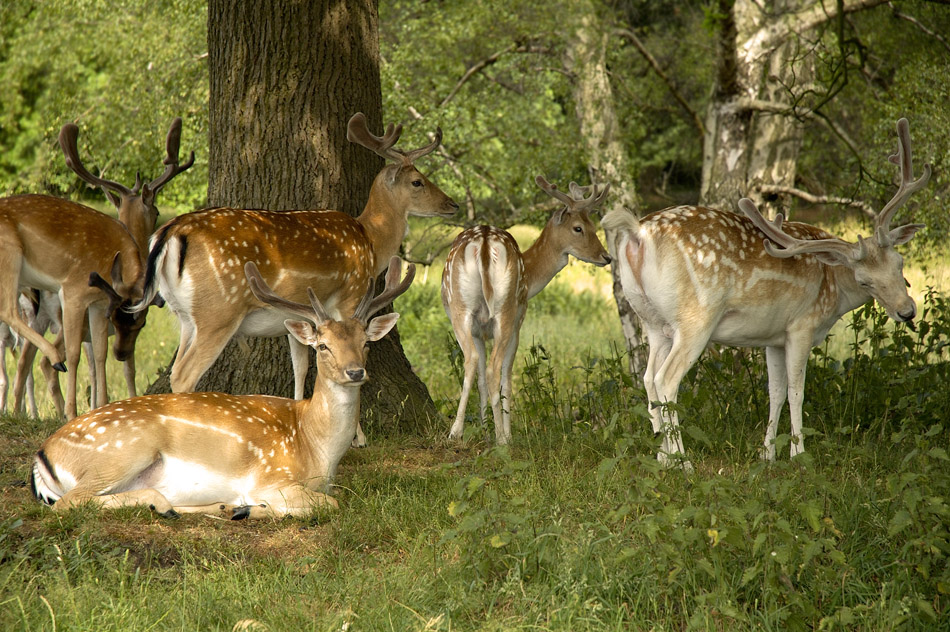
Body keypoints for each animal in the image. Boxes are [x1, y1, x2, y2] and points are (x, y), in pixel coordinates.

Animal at [9, 118, 193, 414]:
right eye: (155, 211)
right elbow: (126, 369)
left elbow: (98, 365)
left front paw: (98, 404)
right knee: (46, 361)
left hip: (39, 317)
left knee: (27, 361)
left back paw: (21, 411)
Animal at [32, 256, 412, 520]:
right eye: (323, 346)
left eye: (366, 342)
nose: (355, 371)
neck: (318, 450)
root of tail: (42, 457)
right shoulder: (271, 476)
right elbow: (332, 502)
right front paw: (253, 508)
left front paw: (241, 509)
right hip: (121, 451)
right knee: (70, 502)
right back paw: (166, 503)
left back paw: (208, 507)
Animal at [136, 113, 460, 446]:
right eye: (417, 181)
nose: (453, 204)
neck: (371, 240)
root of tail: (170, 232)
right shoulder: (352, 295)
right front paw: (358, 437)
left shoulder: (296, 318)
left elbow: (302, 367)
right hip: (218, 311)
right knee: (183, 374)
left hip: (185, 316)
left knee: (175, 369)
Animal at [442, 174, 612, 444]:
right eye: (578, 228)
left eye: (594, 226)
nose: (606, 257)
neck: (531, 279)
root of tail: (484, 243)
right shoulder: (519, 322)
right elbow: (506, 379)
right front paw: (505, 432)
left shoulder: (479, 331)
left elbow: (480, 378)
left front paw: (484, 427)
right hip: (507, 310)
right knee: (494, 369)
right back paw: (502, 438)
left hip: (461, 309)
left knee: (472, 360)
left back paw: (456, 432)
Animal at [608, 117, 932, 470]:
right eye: (864, 282)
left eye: (900, 262)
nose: (907, 311)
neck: (833, 290)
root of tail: (637, 233)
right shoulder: (801, 325)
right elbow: (796, 390)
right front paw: (799, 454)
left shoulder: (772, 337)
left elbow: (774, 391)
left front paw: (767, 454)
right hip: (695, 318)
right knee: (666, 380)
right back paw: (684, 463)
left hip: (652, 322)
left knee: (648, 378)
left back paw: (662, 458)